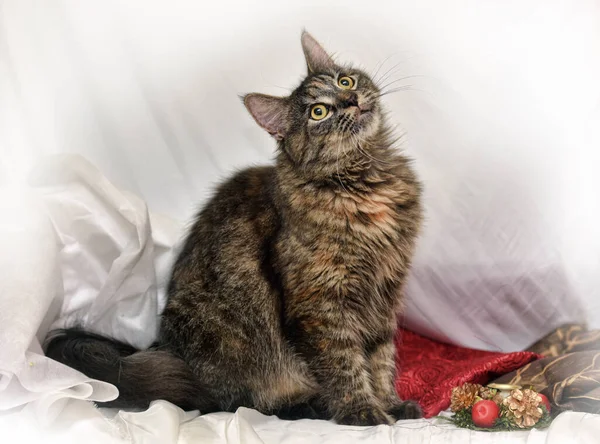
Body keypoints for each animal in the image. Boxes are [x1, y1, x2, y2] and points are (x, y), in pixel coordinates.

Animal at [45, 31, 422, 426]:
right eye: (319, 112)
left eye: (345, 81)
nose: (350, 100)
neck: (366, 182)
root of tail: (165, 349)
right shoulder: (320, 303)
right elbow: (344, 362)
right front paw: (362, 411)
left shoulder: (385, 292)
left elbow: (380, 358)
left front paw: (391, 403)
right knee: (236, 402)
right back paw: (308, 405)